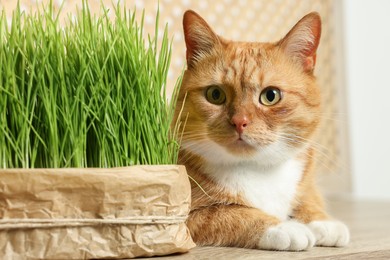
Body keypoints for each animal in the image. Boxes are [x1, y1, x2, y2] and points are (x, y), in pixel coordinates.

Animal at [174, 10, 350, 252]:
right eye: (215, 95)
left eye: (271, 95)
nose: (240, 121)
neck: (257, 168)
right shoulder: (189, 217)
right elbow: (233, 214)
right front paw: (283, 227)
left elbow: (308, 199)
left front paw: (323, 221)